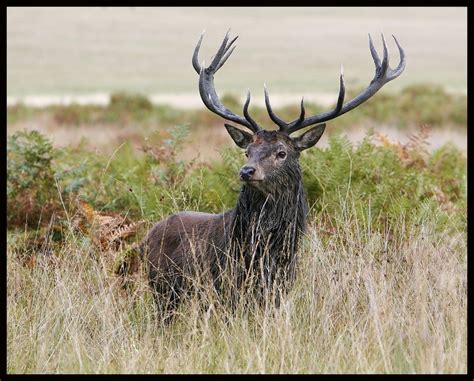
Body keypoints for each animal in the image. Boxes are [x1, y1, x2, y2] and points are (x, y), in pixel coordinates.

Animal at [141, 29, 404, 316]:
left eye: (282, 152)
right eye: (248, 151)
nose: (247, 171)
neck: (265, 253)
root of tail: (149, 235)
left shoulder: (279, 289)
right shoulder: (226, 288)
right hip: (163, 291)